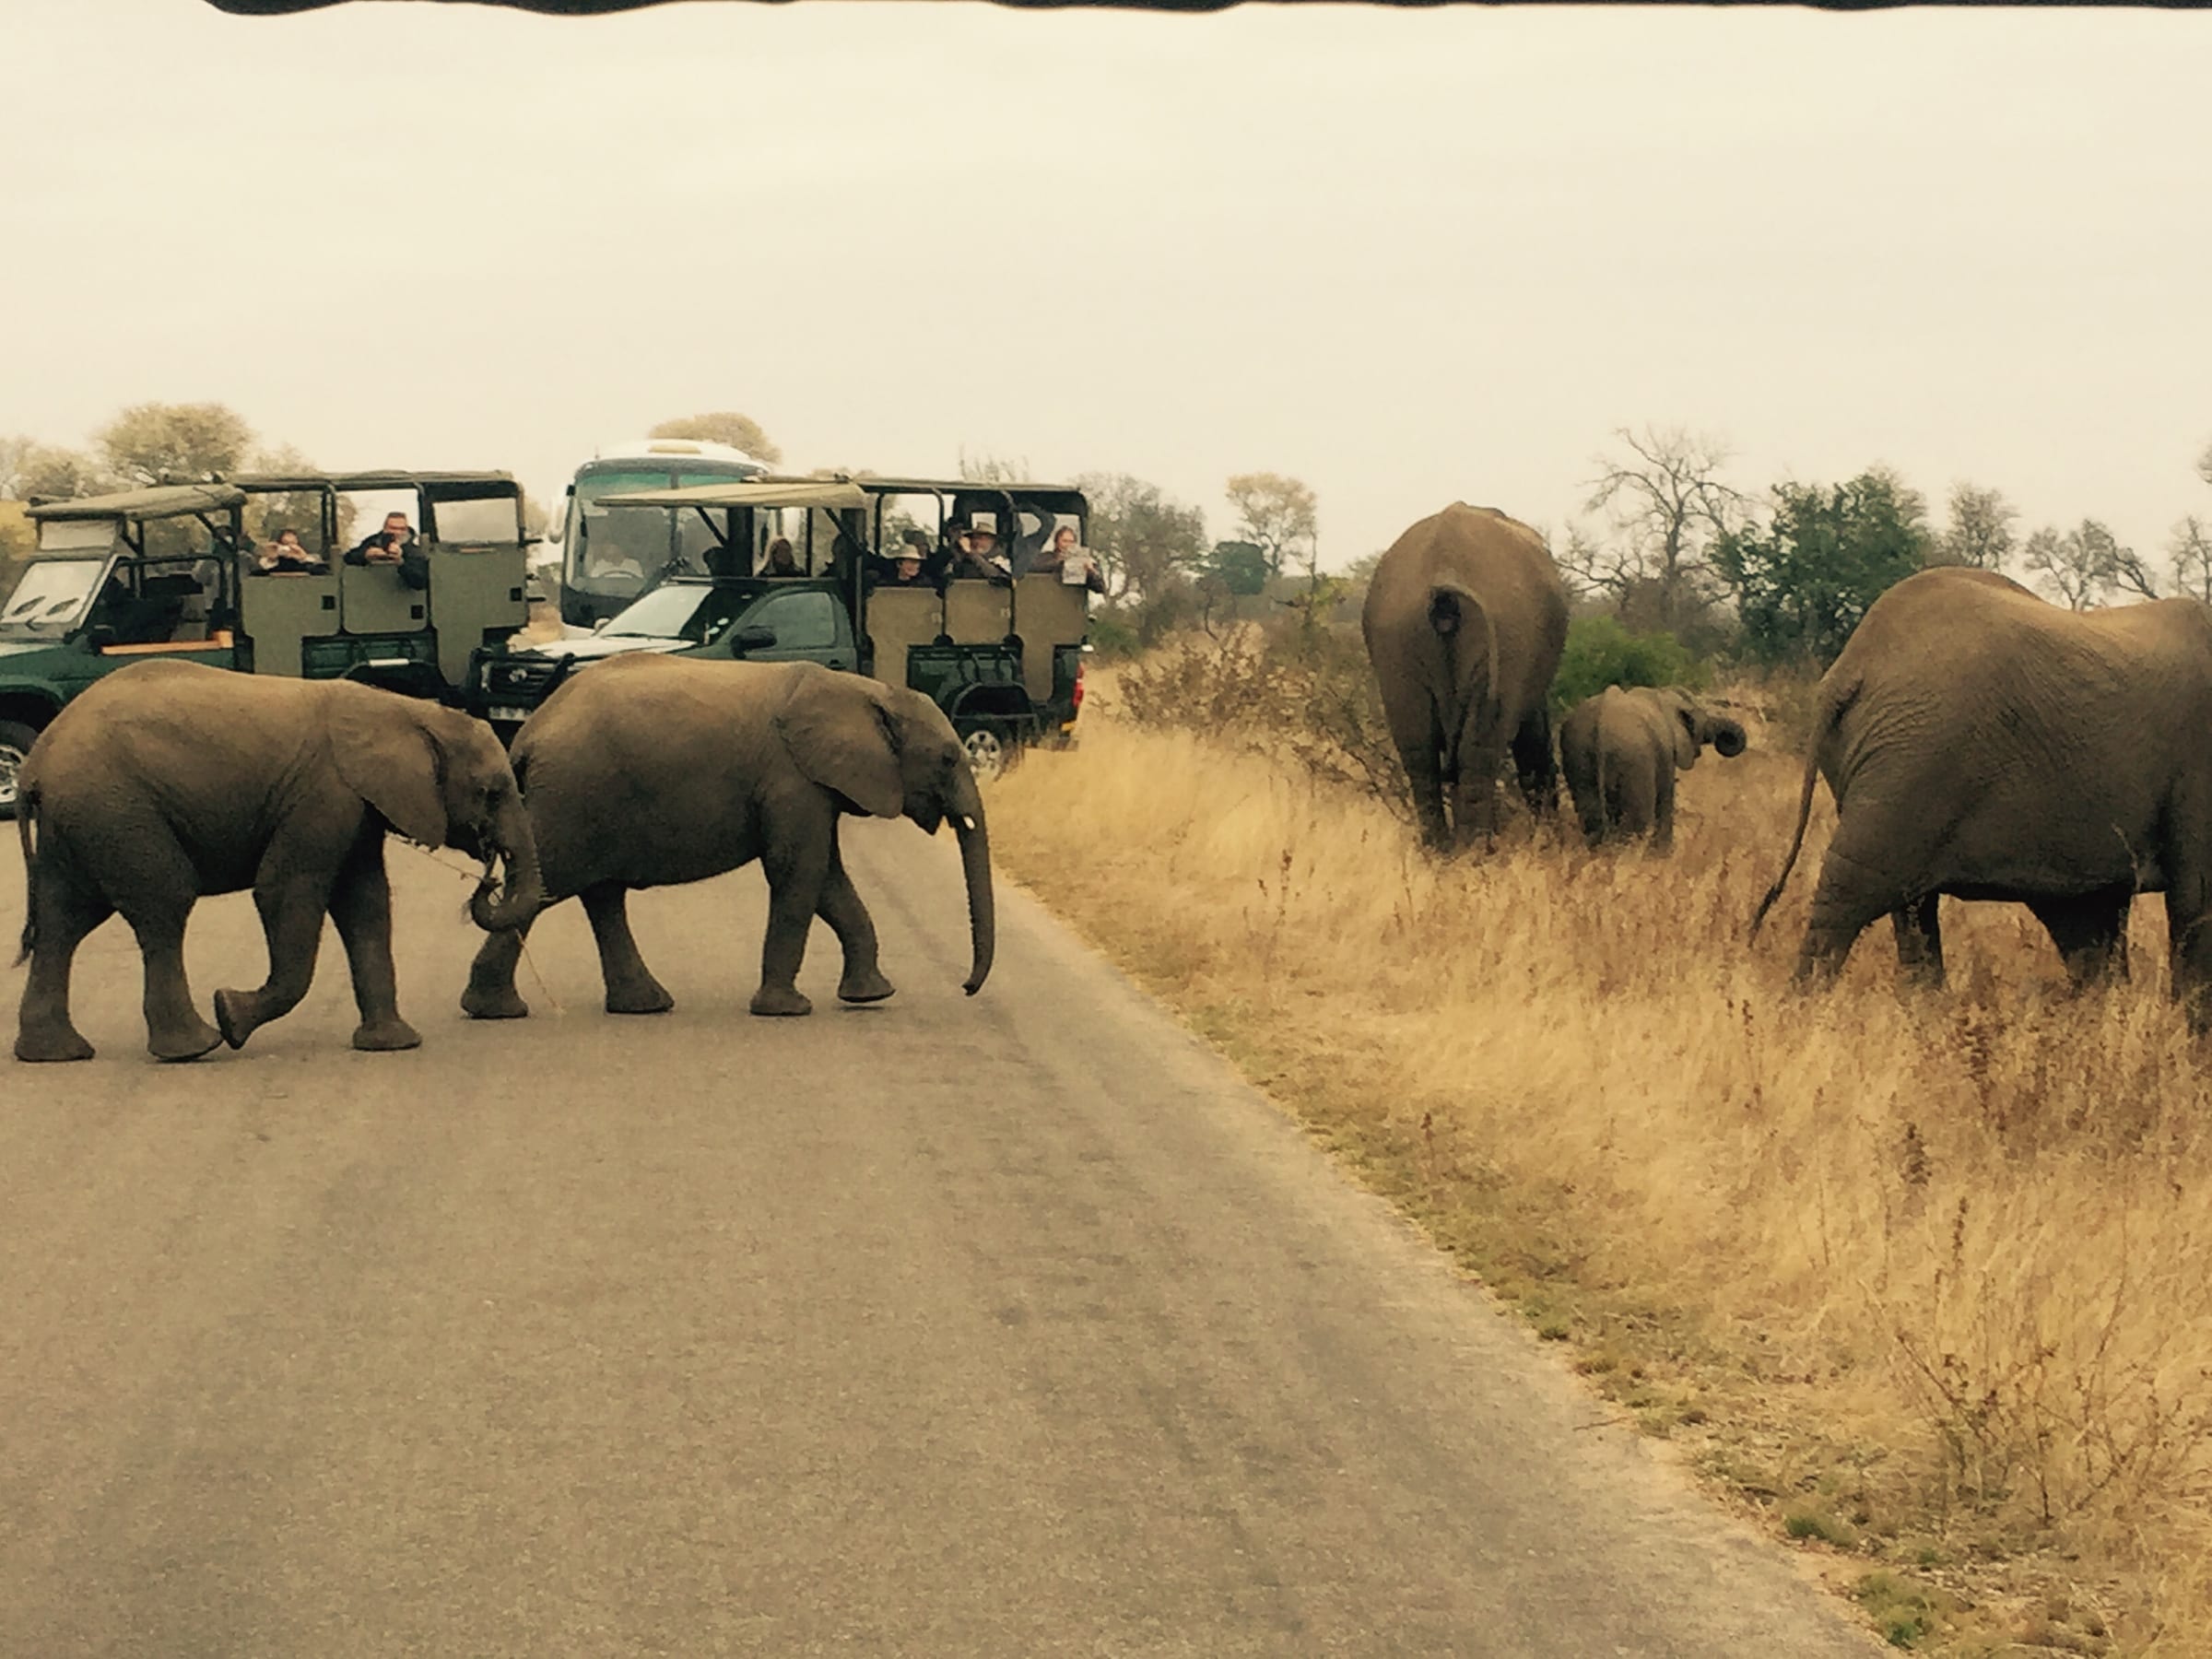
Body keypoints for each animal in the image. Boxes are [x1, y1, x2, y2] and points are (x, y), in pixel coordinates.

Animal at [14, 660, 541, 1062]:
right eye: (492, 793)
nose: (487, 878)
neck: (406, 710)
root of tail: (35, 764)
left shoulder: (356, 805)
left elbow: (365, 902)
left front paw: (393, 1046)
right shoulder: (322, 796)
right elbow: (284, 891)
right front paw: (231, 1015)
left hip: (81, 820)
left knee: (63, 921)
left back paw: (55, 1054)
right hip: (116, 809)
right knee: (163, 904)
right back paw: (196, 1047)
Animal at [460, 654, 992, 1021]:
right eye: (948, 759)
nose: (966, 989)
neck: (868, 690)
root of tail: (527, 735)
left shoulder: (812, 787)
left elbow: (827, 879)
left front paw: (872, 995)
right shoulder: (791, 780)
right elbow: (798, 872)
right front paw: (787, 1011)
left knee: (601, 896)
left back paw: (643, 1005)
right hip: (573, 795)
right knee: (547, 888)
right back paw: (497, 1011)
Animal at [1361, 503, 1570, 852]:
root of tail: (1444, 575)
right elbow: (1532, 737)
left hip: (1397, 636)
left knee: (1421, 754)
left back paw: (1442, 853)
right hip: (1503, 636)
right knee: (1478, 750)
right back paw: (1474, 854)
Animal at [1558, 685, 1748, 852]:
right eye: (1702, 722)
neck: (1663, 694)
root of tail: (1601, 722)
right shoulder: (1666, 754)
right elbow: (1665, 800)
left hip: (1578, 754)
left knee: (1591, 817)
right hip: (1634, 760)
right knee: (1638, 821)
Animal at [1751, 565, 2212, 1018]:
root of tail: (1850, 666)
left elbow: (2094, 917)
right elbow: (2193, 898)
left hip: (1896, 754)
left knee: (1909, 904)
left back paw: (1925, 1016)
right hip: (1915, 753)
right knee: (1854, 888)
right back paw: (1804, 1013)